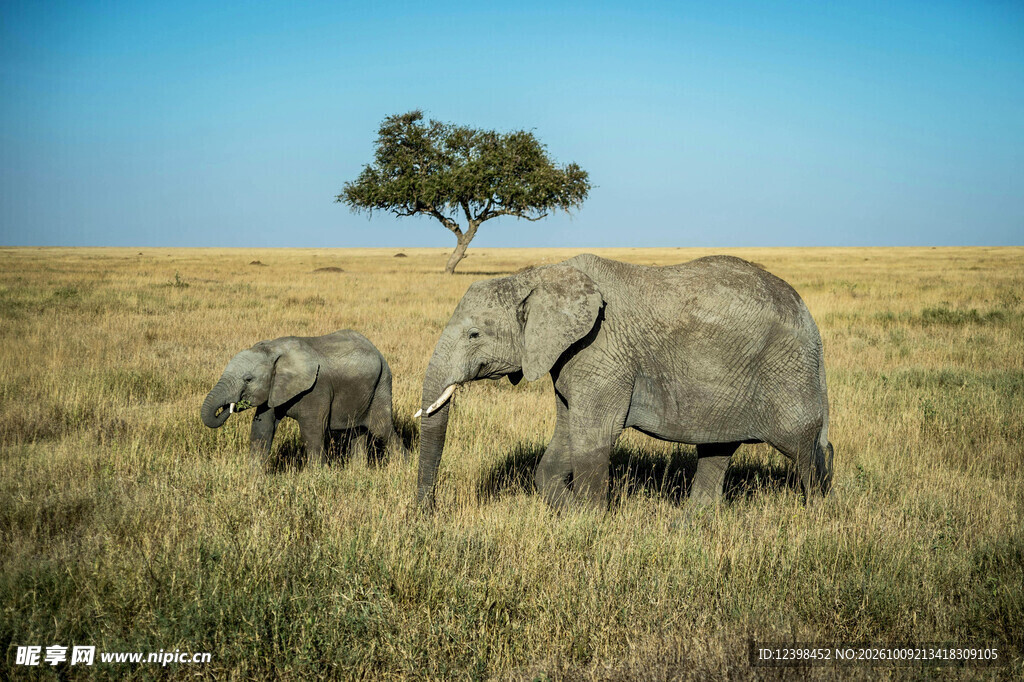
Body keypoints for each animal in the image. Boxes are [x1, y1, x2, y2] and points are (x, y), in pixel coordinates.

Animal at [201, 330, 408, 468]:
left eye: (248, 379)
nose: (230, 406)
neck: (273, 349)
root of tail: (377, 351)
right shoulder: (274, 388)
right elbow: (262, 428)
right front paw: (254, 479)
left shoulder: (316, 389)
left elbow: (312, 429)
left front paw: (318, 477)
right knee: (357, 432)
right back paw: (358, 472)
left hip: (381, 385)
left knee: (382, 428)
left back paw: (401, 468)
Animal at [416, 253, 833, 510]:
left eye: (474, 335)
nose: (427, 513)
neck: (536, 275)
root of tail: (809, 319)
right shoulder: (572, 358)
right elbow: (565, 435)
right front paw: (571, 514)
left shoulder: (602, 350)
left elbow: (594, 437)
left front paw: (588, 525)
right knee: (717, 450)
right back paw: (688, 528)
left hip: (786, 370)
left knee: (804, 448)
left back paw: (817, 517)